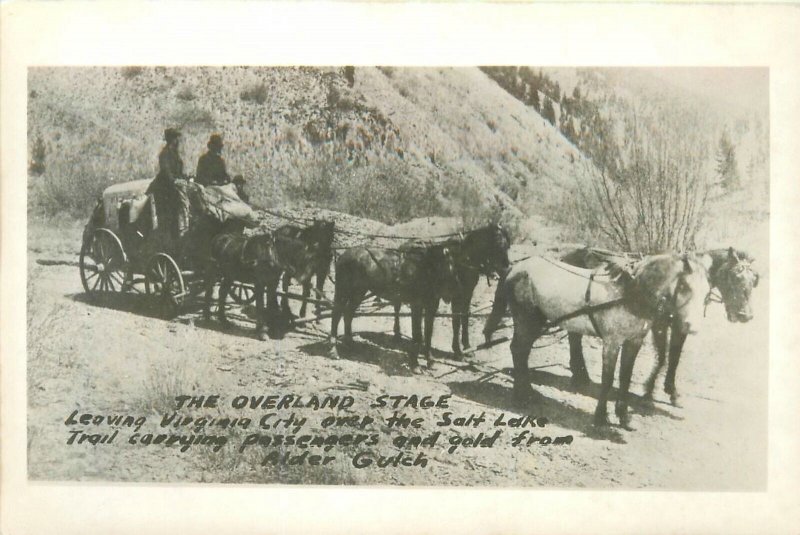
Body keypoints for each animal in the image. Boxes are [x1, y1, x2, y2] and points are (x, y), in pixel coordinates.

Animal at [332, 244, 456, 372]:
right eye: (444, 265)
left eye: (452, 264)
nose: (450, 293)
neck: (422, 270)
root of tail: (343, 255)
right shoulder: (417, 305)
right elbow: (417, 335)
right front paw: (415, 364)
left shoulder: (431, 307)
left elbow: (428, 334)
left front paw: (430, 361)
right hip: (343, 290)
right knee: (336, 314)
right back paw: (334, 350)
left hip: (358, 292)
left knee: (348, 314)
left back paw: (350, 344)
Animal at [392, 222, 512, 356]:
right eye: (497, 244)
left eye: (507, 245)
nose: (506, 267)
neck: (464, 260)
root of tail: (404, 246)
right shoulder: (457, 296)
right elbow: (456, 321)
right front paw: (457, 350)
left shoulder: (467, 294)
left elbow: (465, 317)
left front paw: (466, 345)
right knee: (397, 307)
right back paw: (397, 334)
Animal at [484, 253, 708, 430]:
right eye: (684, 286)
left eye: (706, 293)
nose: (692, 326)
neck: (630, 292)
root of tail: (516, 267)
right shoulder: (612, 342)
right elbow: (608, 379)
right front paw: (601, 417)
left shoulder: (633, 342)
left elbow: (625, 378)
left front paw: (624, 417)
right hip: (526, 319)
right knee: (518, 350)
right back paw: (521, 397)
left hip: (536, 321)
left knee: (521, 352)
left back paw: (528, 393)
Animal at [556, 247, 756, 406]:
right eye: (734, 276)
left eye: (754, 280)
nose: (746, 315)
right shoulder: (659, 324)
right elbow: (662, 358)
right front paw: (649, 390)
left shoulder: (680, 326)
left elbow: (674, 358)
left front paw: (672, 391)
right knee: (574, 337)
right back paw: (580, 376)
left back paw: (579, 374)